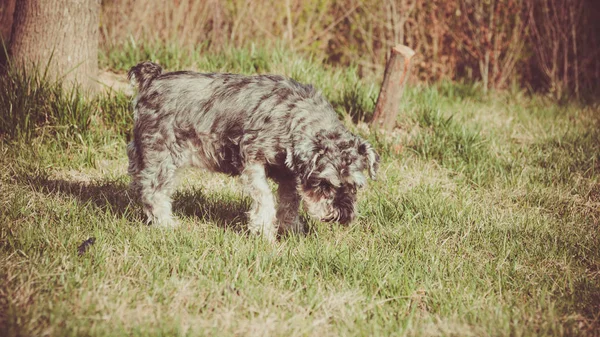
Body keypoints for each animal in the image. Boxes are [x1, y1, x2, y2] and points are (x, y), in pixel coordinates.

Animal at [126, 61, 380, 240]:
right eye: (325, 184)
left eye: (354, 186)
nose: (341, 216)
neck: (294, 117)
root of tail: (153, 79)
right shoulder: (252, 161)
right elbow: (265, 198)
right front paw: (265, 233)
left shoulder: (290, 176)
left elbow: (290, 203)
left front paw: (292, 231)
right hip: (162, 154)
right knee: (153, 191)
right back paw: (166, 223)